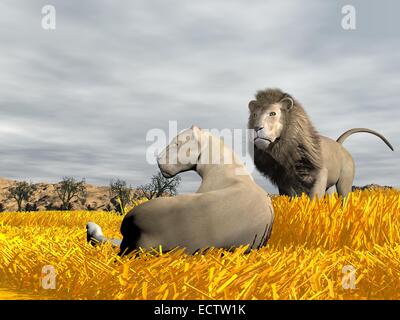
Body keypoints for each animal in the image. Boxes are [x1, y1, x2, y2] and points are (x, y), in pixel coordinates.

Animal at [247, 87, 394, 198]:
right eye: (254, 115)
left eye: (272, 113)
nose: (256, 128)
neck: (286, 149)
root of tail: (339, 144)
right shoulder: (284, 181)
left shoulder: (319, 174)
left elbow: (314, 199)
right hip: (331, 185)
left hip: (344, 181)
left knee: (344, 198)